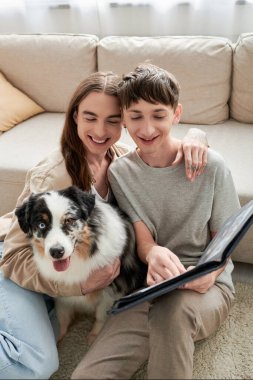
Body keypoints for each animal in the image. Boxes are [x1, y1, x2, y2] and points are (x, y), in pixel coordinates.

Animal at [15, 186, 146, 342]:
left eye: (69, 220)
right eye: (41, 224)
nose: (56, 252)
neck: (80, 257)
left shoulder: (111, 290)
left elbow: (101, 315)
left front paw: (93, 337)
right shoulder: (62, 295)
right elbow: (62, 316)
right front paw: (59, 338)